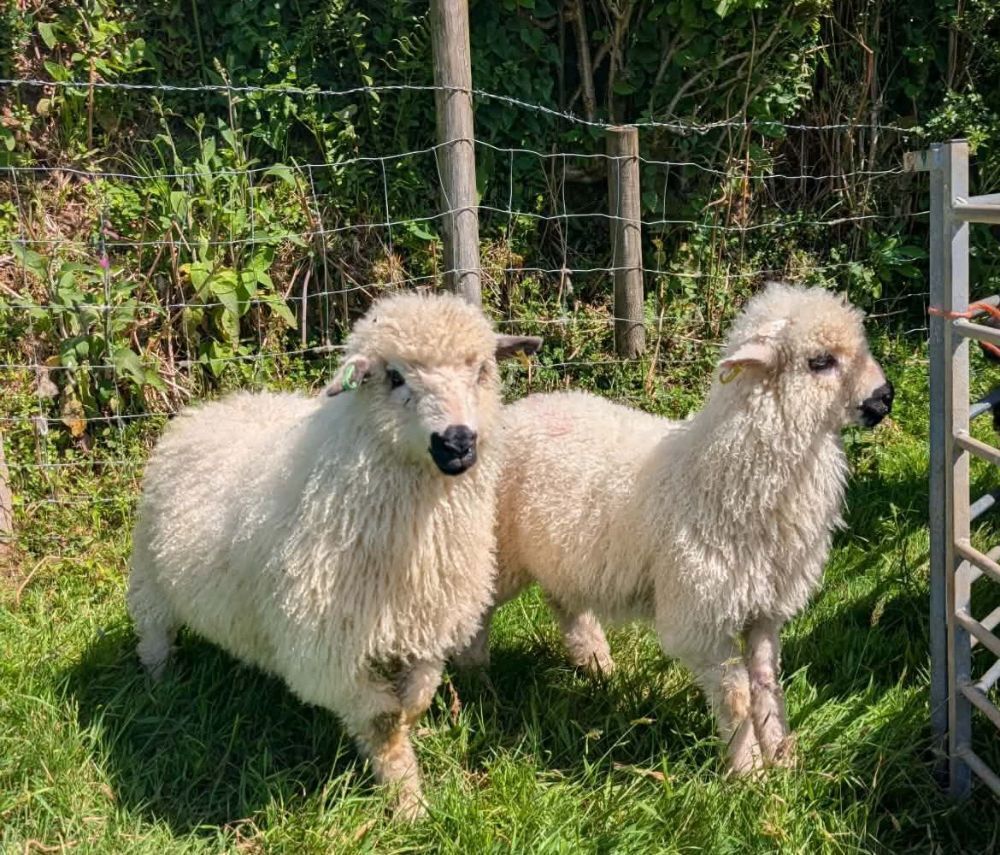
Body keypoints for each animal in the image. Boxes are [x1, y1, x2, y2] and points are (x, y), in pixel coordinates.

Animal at [126, 291, 542, 819]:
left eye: (482, 369)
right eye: (394, 376)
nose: (457, 442)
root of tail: (219, 405)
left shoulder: (428, 627)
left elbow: (415, 699)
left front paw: (412, 746)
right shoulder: (331, 651)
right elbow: (383, 722)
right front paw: (408, 806)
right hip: (149, 577)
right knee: (154, 634)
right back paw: (161, 686)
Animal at [457, 282, 893, 774]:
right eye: (820, 361)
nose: (885, 397)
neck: (725, 471)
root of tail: (521, 409)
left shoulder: (763, 608)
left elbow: (766, 685)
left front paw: (782, 759)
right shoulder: (699, 613)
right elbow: (736, 695)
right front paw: (749, 772)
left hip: (563, 555)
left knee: (566, 603)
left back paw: (596, 665)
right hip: (501, 550)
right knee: (481, 607)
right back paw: (477, 679)